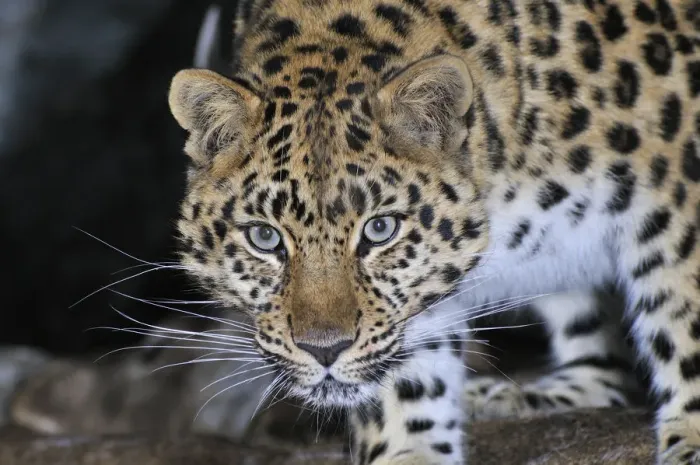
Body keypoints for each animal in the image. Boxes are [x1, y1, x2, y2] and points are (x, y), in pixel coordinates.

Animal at [166, 0, 700, 463]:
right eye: (265, 238)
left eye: (380, 229)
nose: (325, 350)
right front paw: (409, 447)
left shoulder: (677, 192)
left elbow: (684, 316)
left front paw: (692, 438)